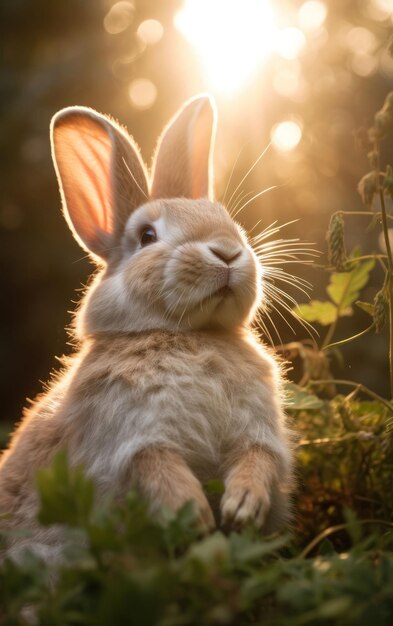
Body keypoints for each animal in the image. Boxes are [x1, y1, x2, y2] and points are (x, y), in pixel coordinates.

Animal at [0, 95, 290, 564]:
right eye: (148, 236)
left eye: (225, 218)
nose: (228, 251)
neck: (191, 334)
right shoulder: (127, 437)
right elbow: (155, 465)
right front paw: (197, 516)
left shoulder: (257, 433)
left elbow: (257, 458)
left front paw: (242, 507)